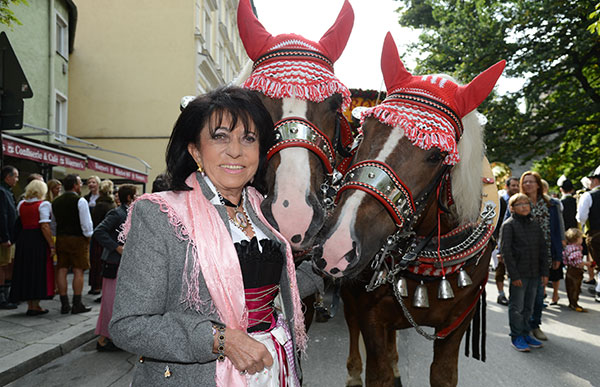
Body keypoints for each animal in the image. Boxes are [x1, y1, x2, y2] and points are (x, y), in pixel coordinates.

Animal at [312, 34, 504, 387]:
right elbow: (379, 372)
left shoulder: (457, 323)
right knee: (353, 327)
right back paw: (353, 372)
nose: (336, 247)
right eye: (365, 131)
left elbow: (442, 374)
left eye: (438, 154)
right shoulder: (370, 314)